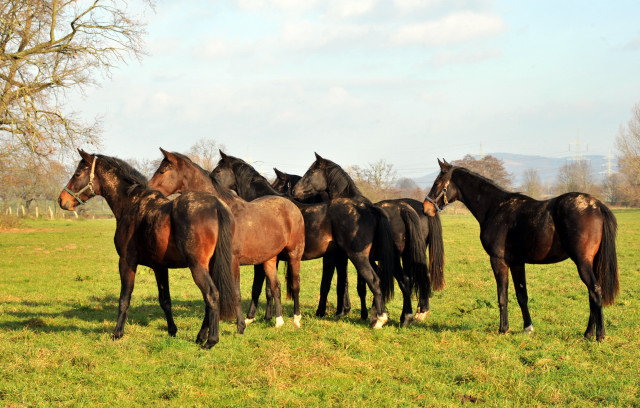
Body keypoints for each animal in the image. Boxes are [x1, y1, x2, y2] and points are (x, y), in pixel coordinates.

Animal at [59, 149, 242, 348]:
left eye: (77, 174)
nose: (62, 200)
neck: (132, 203)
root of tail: (216, 206)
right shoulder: (160, 267)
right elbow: (165, 300)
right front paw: (172, 331)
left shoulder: (127, 262)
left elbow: (124, 299)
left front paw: (117, 333)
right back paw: (201, 336)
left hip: (198, 267)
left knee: (212, 295)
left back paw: (211, 340)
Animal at [149, 149, 306, 328]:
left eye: (162, 171)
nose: (149, 189)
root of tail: (291, 206)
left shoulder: (233, 261)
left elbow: (236, 293)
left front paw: (240, 325)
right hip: (269, 259)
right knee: (275, 286)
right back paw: (278, 321)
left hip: (294, 255)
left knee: (295, 285)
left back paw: (296, 319)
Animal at [214, 151, 396, 328]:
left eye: (218, 171)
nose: (295, 191)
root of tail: (367, 207)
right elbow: (270, 288)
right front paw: (268, 316)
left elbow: (257, 287)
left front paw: (250, 318)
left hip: (358, 256)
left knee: (374, 281)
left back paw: (379, 320)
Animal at [424, 159, 620, 342]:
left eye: (438, 183)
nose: (426, 207)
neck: (495, 208)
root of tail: (597, 205)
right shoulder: (517, 263)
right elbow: (521, 295)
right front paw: (528, 328)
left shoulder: (498, 261)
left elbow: (502, 296)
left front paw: (503, 329)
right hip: (592, 262)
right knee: (592, 294)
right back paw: (588, 333)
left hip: (582, 262)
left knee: (595, 290)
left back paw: (600, 335)